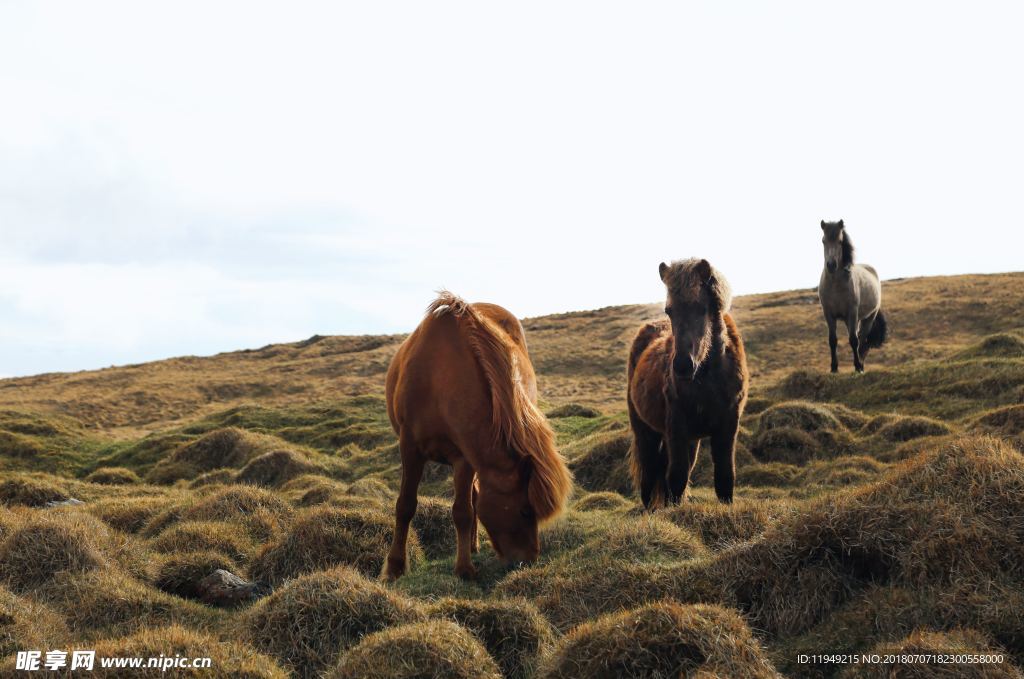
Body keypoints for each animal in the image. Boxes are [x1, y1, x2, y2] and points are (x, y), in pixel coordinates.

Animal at [385, 292, 577, 577]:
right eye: (525, 511)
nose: (529, 560)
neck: (439, 378)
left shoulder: (464, 457)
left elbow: (463, 511)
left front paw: (464, 568)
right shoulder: (410, 448)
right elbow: (405, 505)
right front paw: (395, 567)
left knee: (474, 499)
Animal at [626, 258, 749, 507]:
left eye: (702, 308)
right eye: (669, 311)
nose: (683, 366)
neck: (709, 379)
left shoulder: (728, 426)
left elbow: (724, 477)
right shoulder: (677, 427)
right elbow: (677, 478)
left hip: (688, 440)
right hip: (645, 430)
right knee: (649, 475)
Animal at [819, 220, 884, 372]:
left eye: (840, 241)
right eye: (823, 241)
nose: (831, 265)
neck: (835, 285)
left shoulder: (852, 312)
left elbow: (854, 340)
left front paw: (858, 366)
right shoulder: (828, 314)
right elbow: (832, 340)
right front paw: (834, 368)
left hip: (867, 318)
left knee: (862, 340)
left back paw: (861, 364)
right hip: (851, 320)